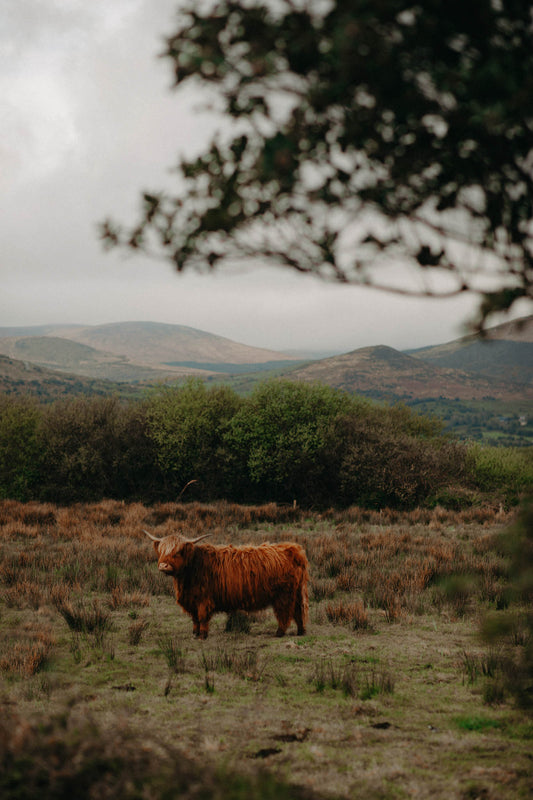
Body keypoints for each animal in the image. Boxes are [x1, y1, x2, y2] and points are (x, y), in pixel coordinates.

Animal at [144, 530, 309, 639]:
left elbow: (202, 617)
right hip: (296, 593)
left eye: (178, 552)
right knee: (299, 611)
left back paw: (279, 633)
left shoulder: (203, 600)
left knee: (285, 614)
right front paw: (195, 633)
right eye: (161, 551)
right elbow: (195, 618)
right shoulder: (192, 600)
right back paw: (301, 631)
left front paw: (203, 635)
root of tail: (293, 549)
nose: (163, 565)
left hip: (283, 595)